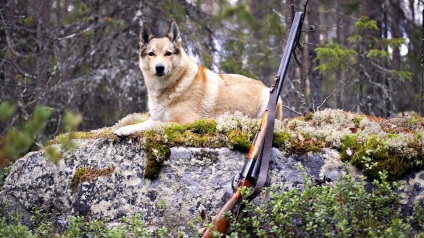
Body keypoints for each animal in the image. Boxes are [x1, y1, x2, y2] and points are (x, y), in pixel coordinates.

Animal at [115, 20, 282, 136]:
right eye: (151, 54)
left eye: (168, 53)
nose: (159, 68)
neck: (174, 85)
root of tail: (263, 85)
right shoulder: (155, 117)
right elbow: (142, 124)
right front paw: (124, 129)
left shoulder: (182, 122)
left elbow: (155, 126)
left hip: (267, 99)